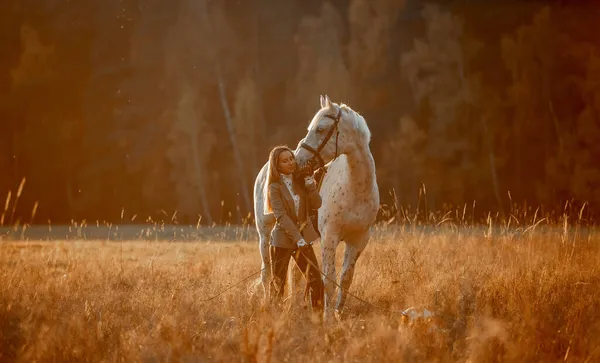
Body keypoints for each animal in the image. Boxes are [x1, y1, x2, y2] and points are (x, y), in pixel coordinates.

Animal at [296, 94, 380, 322]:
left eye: (320, 129)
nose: (297, 160)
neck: (355, 190)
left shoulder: (359, 240)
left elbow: (345, 279)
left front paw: (338, 315)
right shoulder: (330, 237)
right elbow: (329, 281)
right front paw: (327, 320)